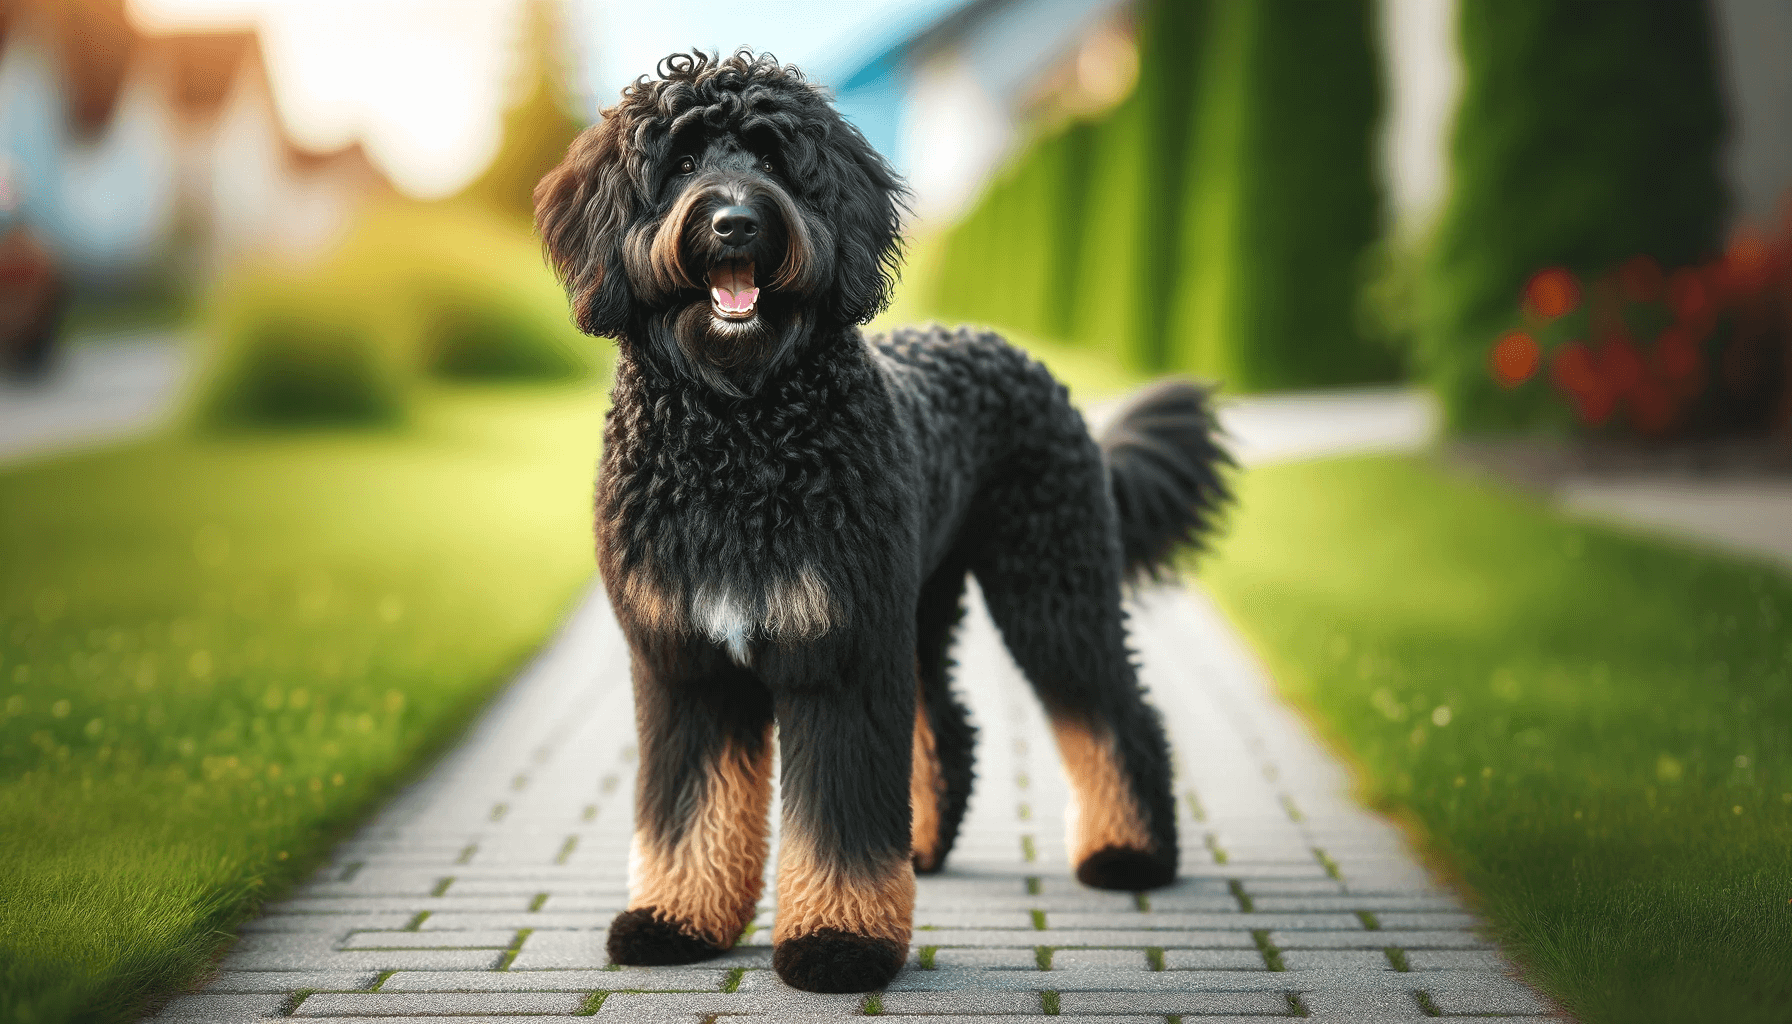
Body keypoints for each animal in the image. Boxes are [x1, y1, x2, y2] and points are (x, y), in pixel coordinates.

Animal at [530, 52, 1232, 997]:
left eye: (776, 159)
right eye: (678, 164)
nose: (735, 222)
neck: (738, 434)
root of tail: (1026, 361)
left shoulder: (841, 651)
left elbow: (841, 814)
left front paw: (839, 940)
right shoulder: (690, 662)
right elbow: (689, 808)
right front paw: (675, 919)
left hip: (1049, 584)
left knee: (1114, 715)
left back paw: (1128, 854)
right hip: (924, 601)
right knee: (950, 724)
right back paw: (924, 850)